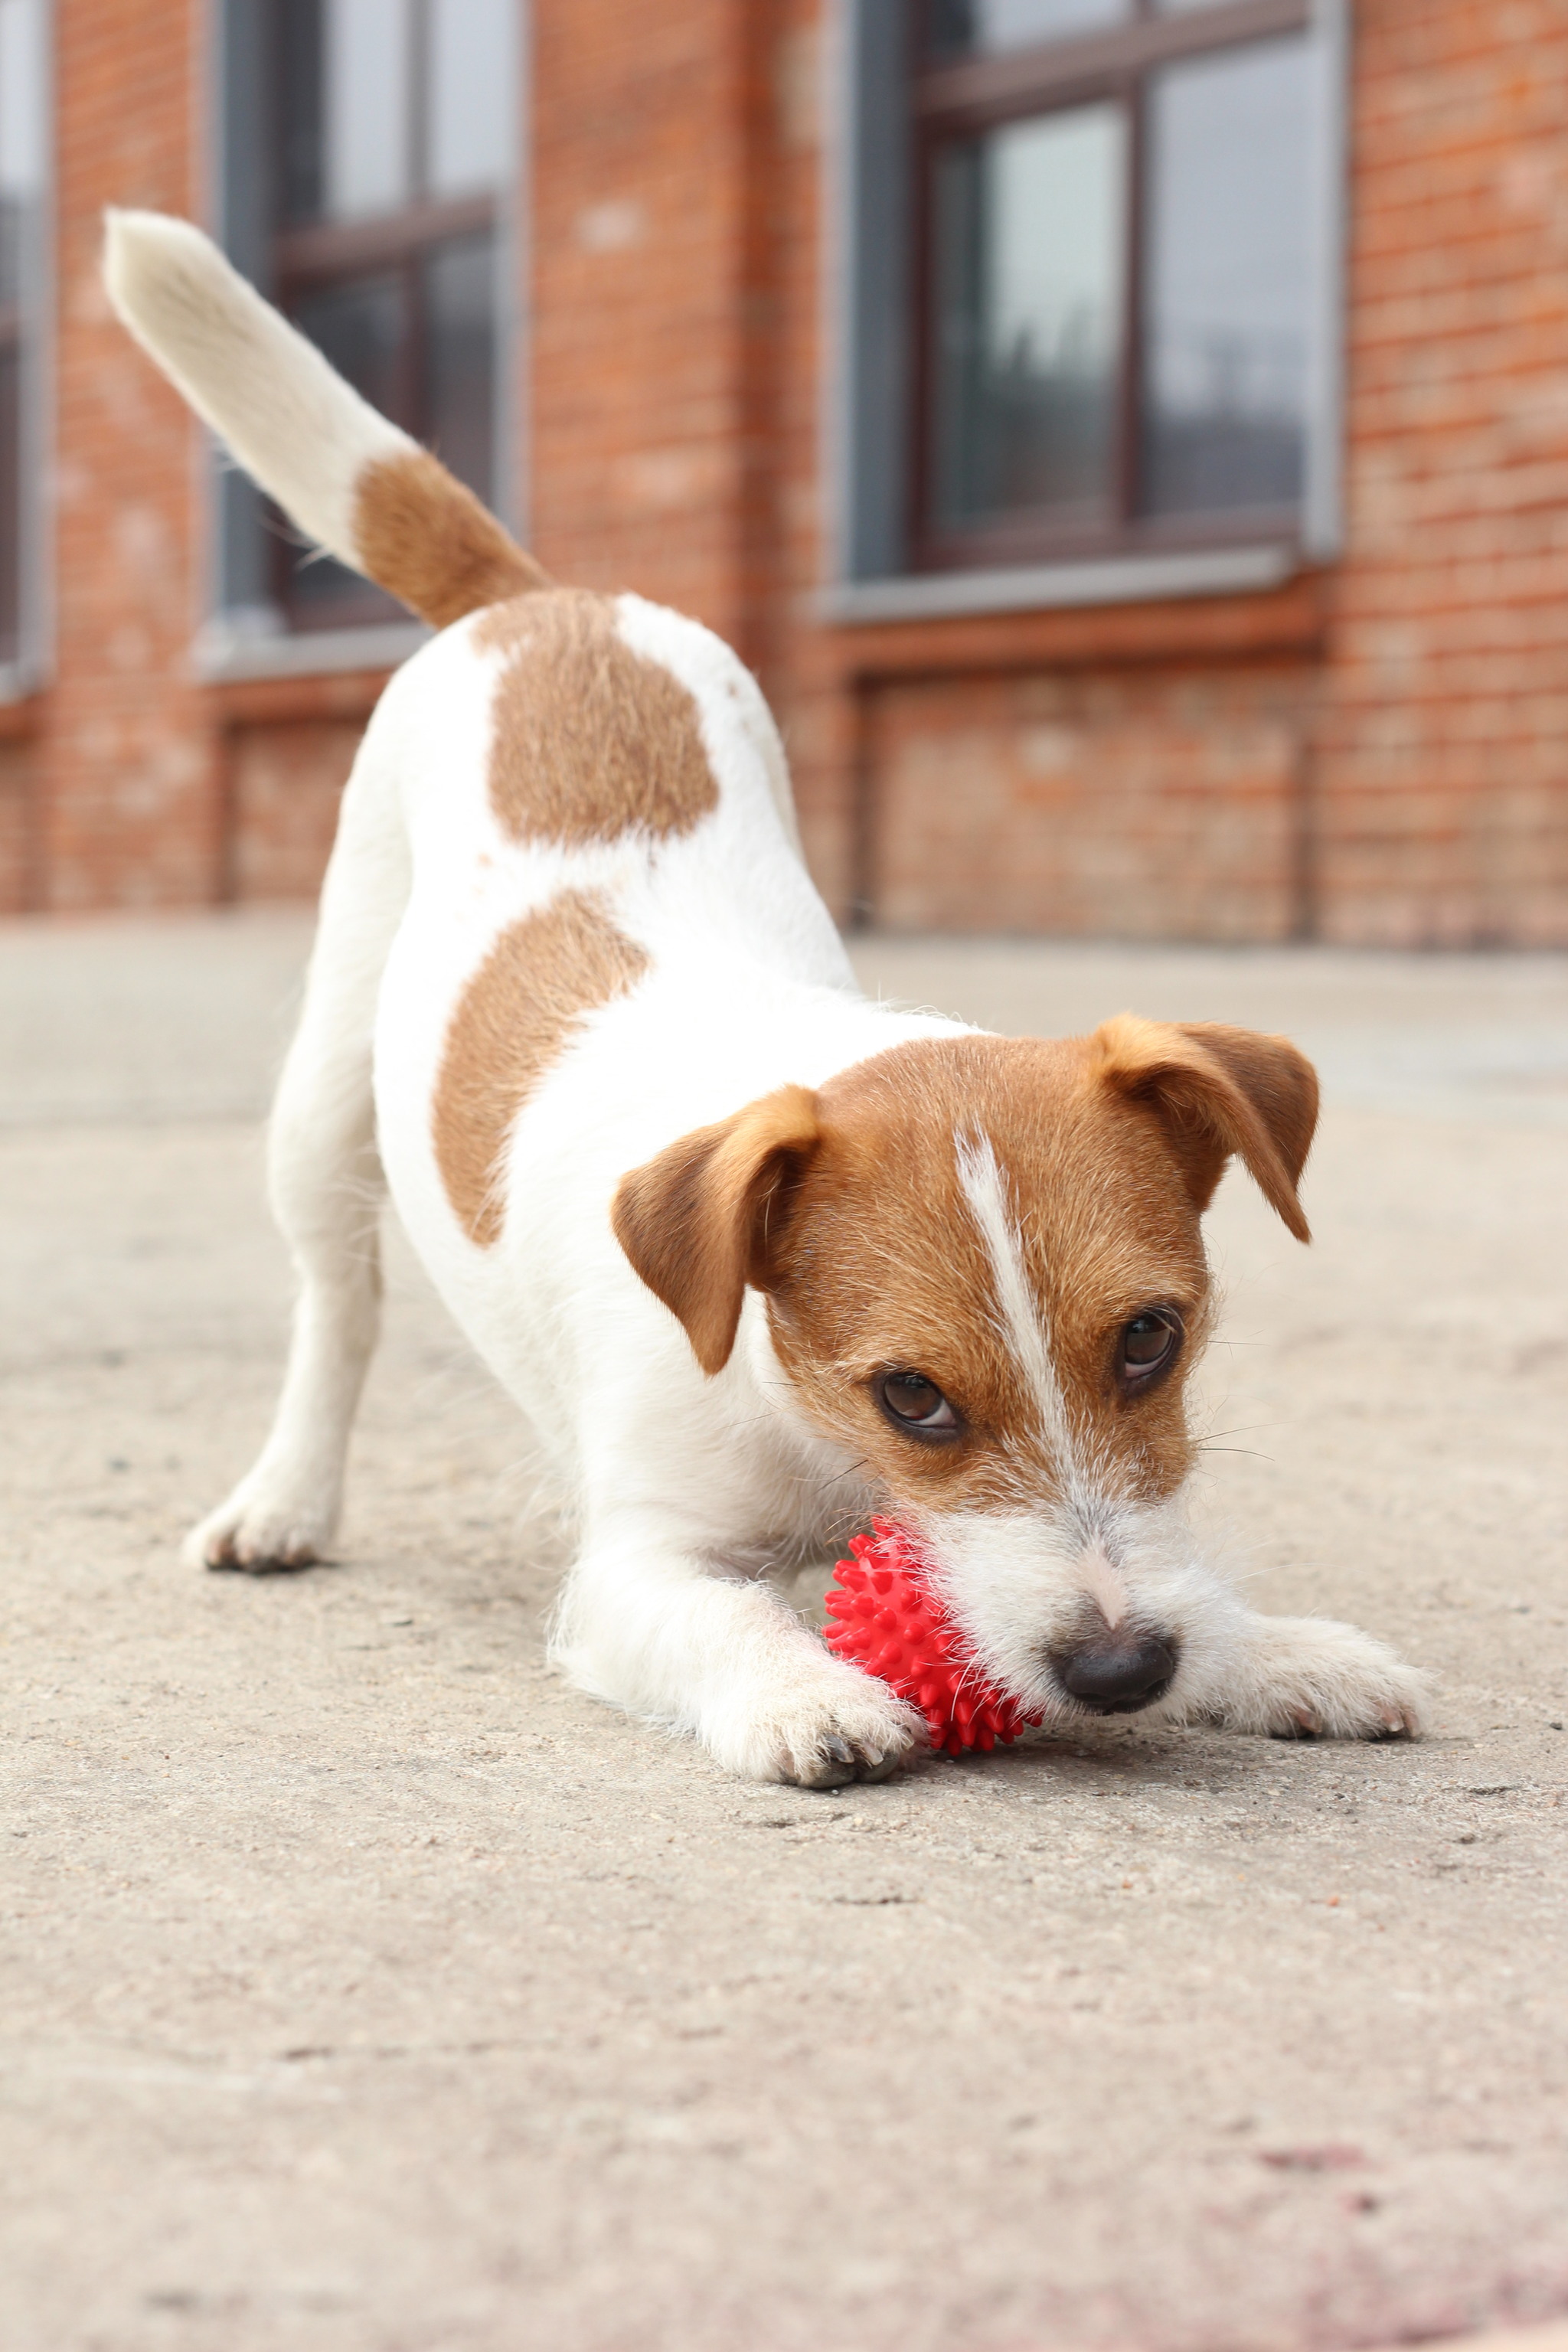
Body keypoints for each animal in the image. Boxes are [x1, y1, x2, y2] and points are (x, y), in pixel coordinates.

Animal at [103, 216, 1429, 1778]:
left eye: (1150, 1339)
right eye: (912, 1396)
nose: (1118, 1669)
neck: (799, 1415)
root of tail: (534, 600)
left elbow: (1192, 1581)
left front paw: (1277, 1652)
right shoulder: (632, 1568)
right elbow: (718, 1613)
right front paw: (804, 1691)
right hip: (321, 1100)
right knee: (336, 1300)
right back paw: (286, 1498)